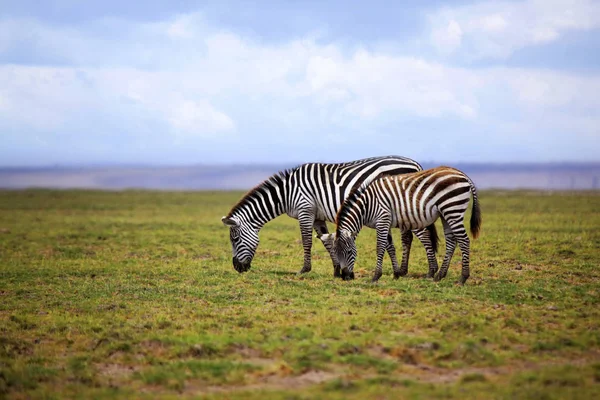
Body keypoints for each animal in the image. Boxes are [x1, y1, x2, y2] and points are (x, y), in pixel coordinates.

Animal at [223, 156, 438, 278]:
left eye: (235, 239)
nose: (237, 268)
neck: (286, 193)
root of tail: (415, 163)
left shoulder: (305, 210)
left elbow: (307, 241)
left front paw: (304, 269)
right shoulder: (317, 216)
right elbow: (326, 242)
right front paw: (336, 269)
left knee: (424, 237)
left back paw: (431, 271)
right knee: (407, 237)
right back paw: (403, 271)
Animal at [324, 166, 482, 284]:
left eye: (350, 252)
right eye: (335, 253)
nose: (345, 277)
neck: (367, 205)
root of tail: (463, 174)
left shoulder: (382, 219)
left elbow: (380, 247)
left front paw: (376, 276)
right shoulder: (384, 222)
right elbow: (390, 247)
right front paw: (396, 274)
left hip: (452, 209)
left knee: (464, 240)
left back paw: (463, 277)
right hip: (445, 214)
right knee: (451, 241)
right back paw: (440, 275)